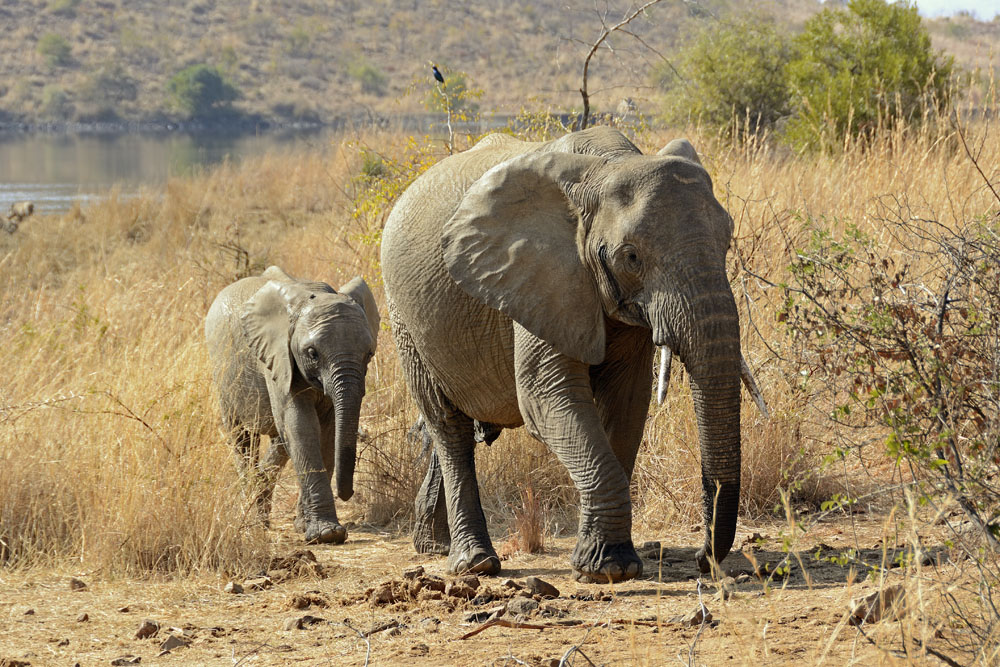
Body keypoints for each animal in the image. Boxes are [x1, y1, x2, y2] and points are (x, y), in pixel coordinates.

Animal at [205, 265, 379, 544]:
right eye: (312, 353)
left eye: (369, 354)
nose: (347, 494)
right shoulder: (276, 356)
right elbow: (301, 426)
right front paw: (326, 534)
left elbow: (326, 433)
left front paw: (307, 528)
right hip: (223, 375)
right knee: (242, 438)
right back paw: (253, 522)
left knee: (279, 440)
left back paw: (261, 497)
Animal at [381, 126, 766, 583]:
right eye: (631, 257)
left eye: (726, 243)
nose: (701, 559)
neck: (609, 165)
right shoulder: (540, 275)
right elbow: (547, 397)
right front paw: (607, 570)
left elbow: (627, 401)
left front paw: (609, 562)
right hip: (404, 318)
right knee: (447, 426)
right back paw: (474, 564)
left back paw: (434, 547)